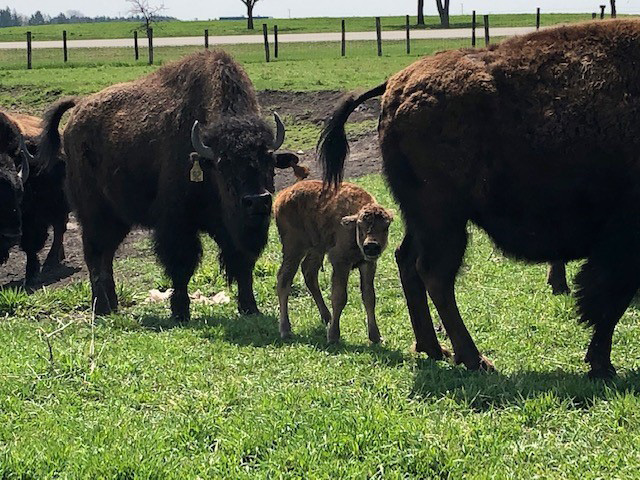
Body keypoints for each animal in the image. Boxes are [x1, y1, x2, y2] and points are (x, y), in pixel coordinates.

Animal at [0, 110, 68, 285]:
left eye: (19, 194)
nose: (11, 235)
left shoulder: (33, 217)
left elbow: (31, 245)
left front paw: (32, 275)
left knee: (59, 229)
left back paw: (51, 262)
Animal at [39, 51, 304, 320]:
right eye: (223, 165)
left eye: (269, 160)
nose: (257, 201)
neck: (203, 162)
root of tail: (76, 113)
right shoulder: (177, 222)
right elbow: (181, 265)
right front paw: (180, 311)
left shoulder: (234, 229)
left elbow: (242, 262)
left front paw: (250, 307)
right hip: (93, 211)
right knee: (94, 252)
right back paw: (101, 307)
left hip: (119, 217)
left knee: (107, 254)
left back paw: (112, 304)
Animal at [274, 180, 393, 343]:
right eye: (360, 225)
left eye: (386, 227)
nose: (371, 246)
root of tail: (282, 195)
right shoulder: (340, 263)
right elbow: (339, 297)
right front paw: (333, 336)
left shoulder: (368, 264)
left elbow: (369, 297)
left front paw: (375, 336)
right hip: (294, 248)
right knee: (284, 280)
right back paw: (286, 330)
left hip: (316, 248)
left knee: (309, 272)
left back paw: (327, 317)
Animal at [319, 20, 640, 379]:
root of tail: (395, 84)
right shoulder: (622, 244)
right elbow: (608, 303)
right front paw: (603, 366)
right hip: (444, 218)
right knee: (434, 273)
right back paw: (475, 359)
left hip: (425, 218)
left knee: (409, 261)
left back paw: (435, 349)